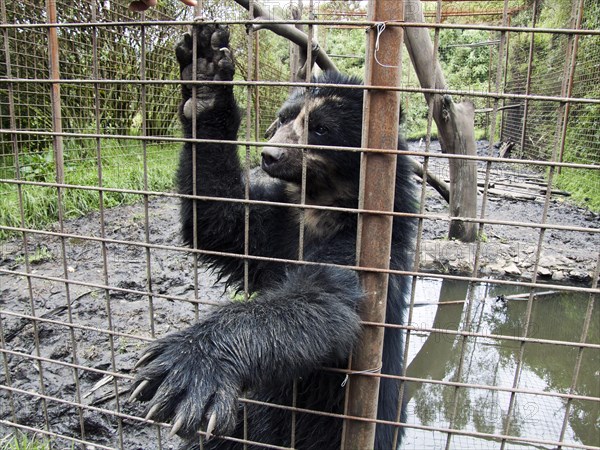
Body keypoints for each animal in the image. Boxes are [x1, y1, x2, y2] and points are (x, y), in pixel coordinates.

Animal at [129, 23, 414, 450]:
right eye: (283, 119)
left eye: (321, 128)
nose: (269, 156)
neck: (318, 206)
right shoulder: (277, 223)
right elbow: (222, 220)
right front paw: (205, 75)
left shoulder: (368, 243)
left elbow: (323, 296)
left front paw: (185, 366)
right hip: (248, 423)